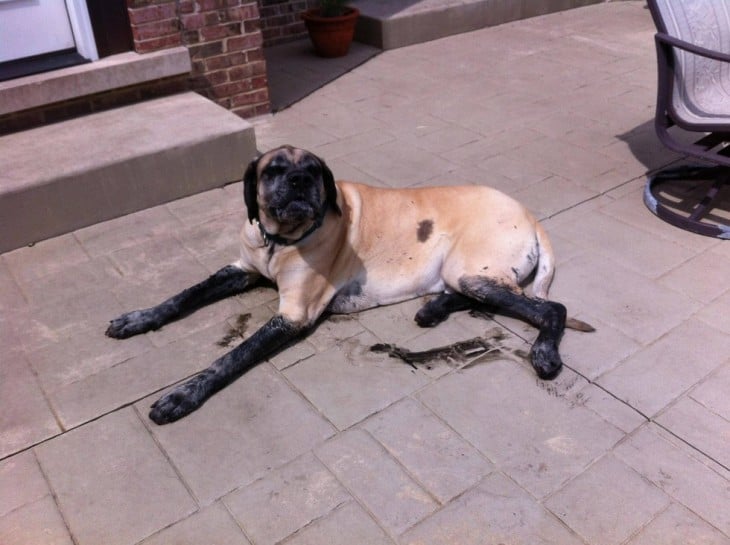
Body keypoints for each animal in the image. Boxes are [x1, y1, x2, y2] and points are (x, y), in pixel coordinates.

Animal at [105, 146, 588, 424]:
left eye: (314, 170)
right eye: (273, 170)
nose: (300, 181)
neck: (279, 240)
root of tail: (530, 215)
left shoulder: (293, 315)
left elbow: (230, 357)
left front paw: (183, 394)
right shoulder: (239, 269)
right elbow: (182, 295)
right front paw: (138, 318)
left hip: (472, 269)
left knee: (552, 308)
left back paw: (544, 353)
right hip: (463, 272)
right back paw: (432, 309)